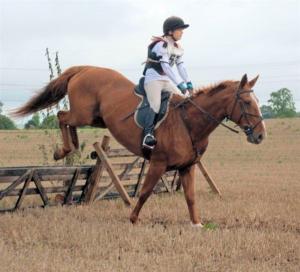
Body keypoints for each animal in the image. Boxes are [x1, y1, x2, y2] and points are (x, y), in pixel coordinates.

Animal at [13, 65, 268, 225]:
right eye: (247, 102)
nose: (260, 136)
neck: (189, 122)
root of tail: (86, 68)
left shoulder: (187, 167)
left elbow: (190, 197)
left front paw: (197, 224)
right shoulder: (158, 163)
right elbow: (145, 193)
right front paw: (133, 219)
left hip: (95, 118)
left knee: (66, 119)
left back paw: (71, 146)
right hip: (83, 114)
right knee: (62, 116)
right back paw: (63, 150)